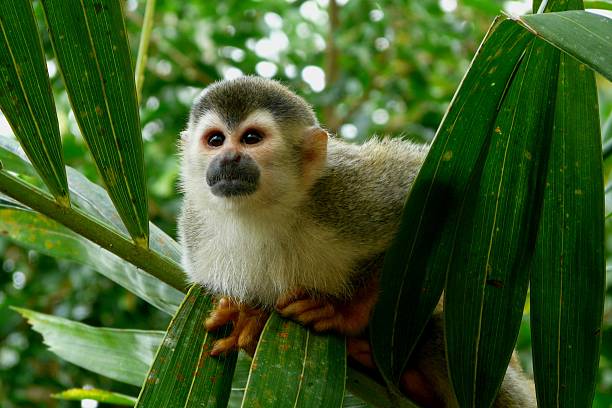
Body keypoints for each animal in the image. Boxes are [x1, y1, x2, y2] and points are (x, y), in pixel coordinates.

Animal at [178, 75, 536, 404]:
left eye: (251, 138)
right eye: (216, 140)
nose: (228, 158)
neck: (265, 211)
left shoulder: (346, 192)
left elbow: (438, 188)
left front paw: (344, 313)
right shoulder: (195, 233)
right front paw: (248, 318)